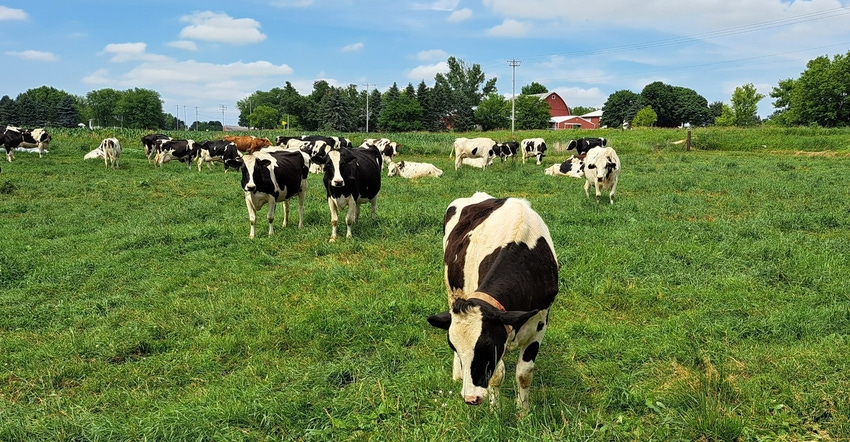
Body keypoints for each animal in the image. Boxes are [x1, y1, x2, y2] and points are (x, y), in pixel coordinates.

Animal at [428, 192, 560, 412]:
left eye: (487, 347)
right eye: (454, 347)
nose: (470, 398)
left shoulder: (540, 323)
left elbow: (524, 374)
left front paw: (523, 412)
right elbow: (497, 375)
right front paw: (495, 411)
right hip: (452, 288)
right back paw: (457, 375)